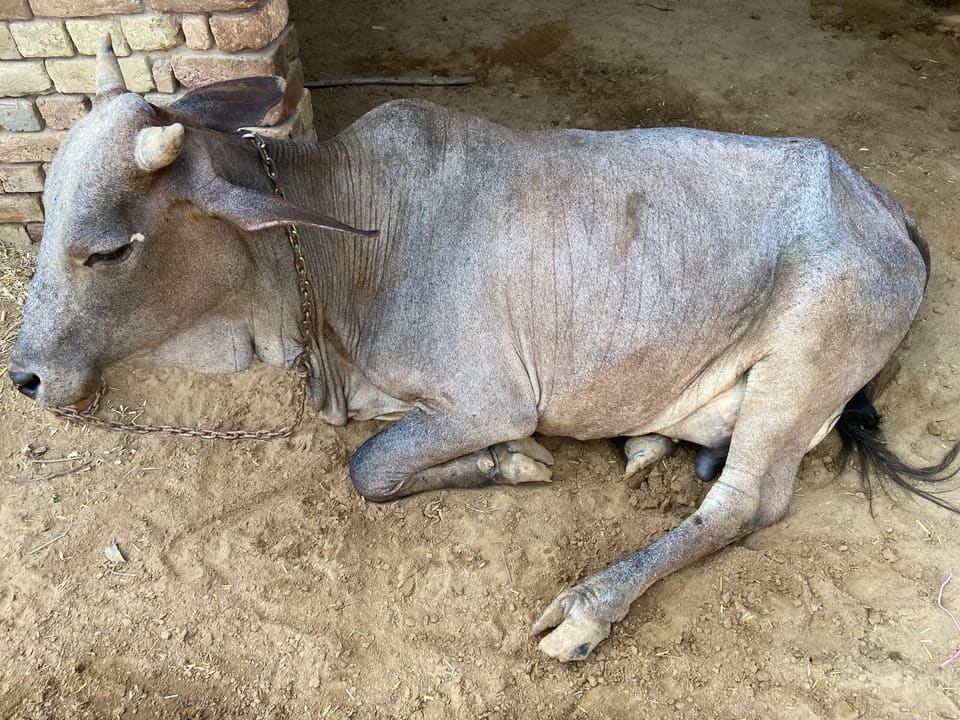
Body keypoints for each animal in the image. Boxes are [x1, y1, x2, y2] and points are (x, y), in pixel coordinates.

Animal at [8, 41, 958, 662]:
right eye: (46, 209)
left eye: (109, 250)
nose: (25, 374)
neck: (337, 256)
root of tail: (880, 202)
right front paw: (508, 463)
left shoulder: (490, 399)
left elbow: (368, 468)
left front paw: (513, 463)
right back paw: (652, 442)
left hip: (801, 365)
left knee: (745, 502)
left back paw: (589, 606)